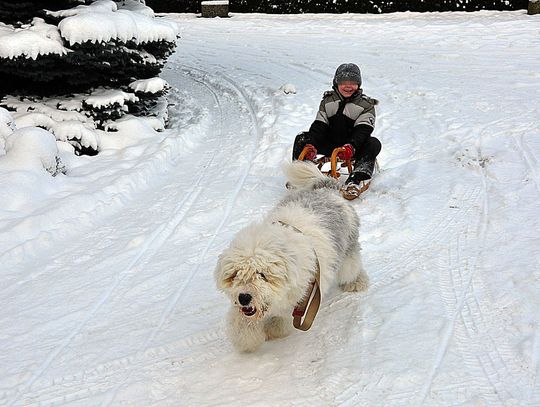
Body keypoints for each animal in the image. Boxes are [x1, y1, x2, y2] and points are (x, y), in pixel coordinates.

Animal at [213, 161, 370, 352]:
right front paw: (248, 339)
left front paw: (273, 330)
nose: (244, 297)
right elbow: (242, 325)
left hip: (348, 252)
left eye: (262, 275)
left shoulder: (302, 297)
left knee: (352, 269)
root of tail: (326, 189)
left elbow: (281, 320)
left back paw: (356, 283)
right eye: (235, 275)